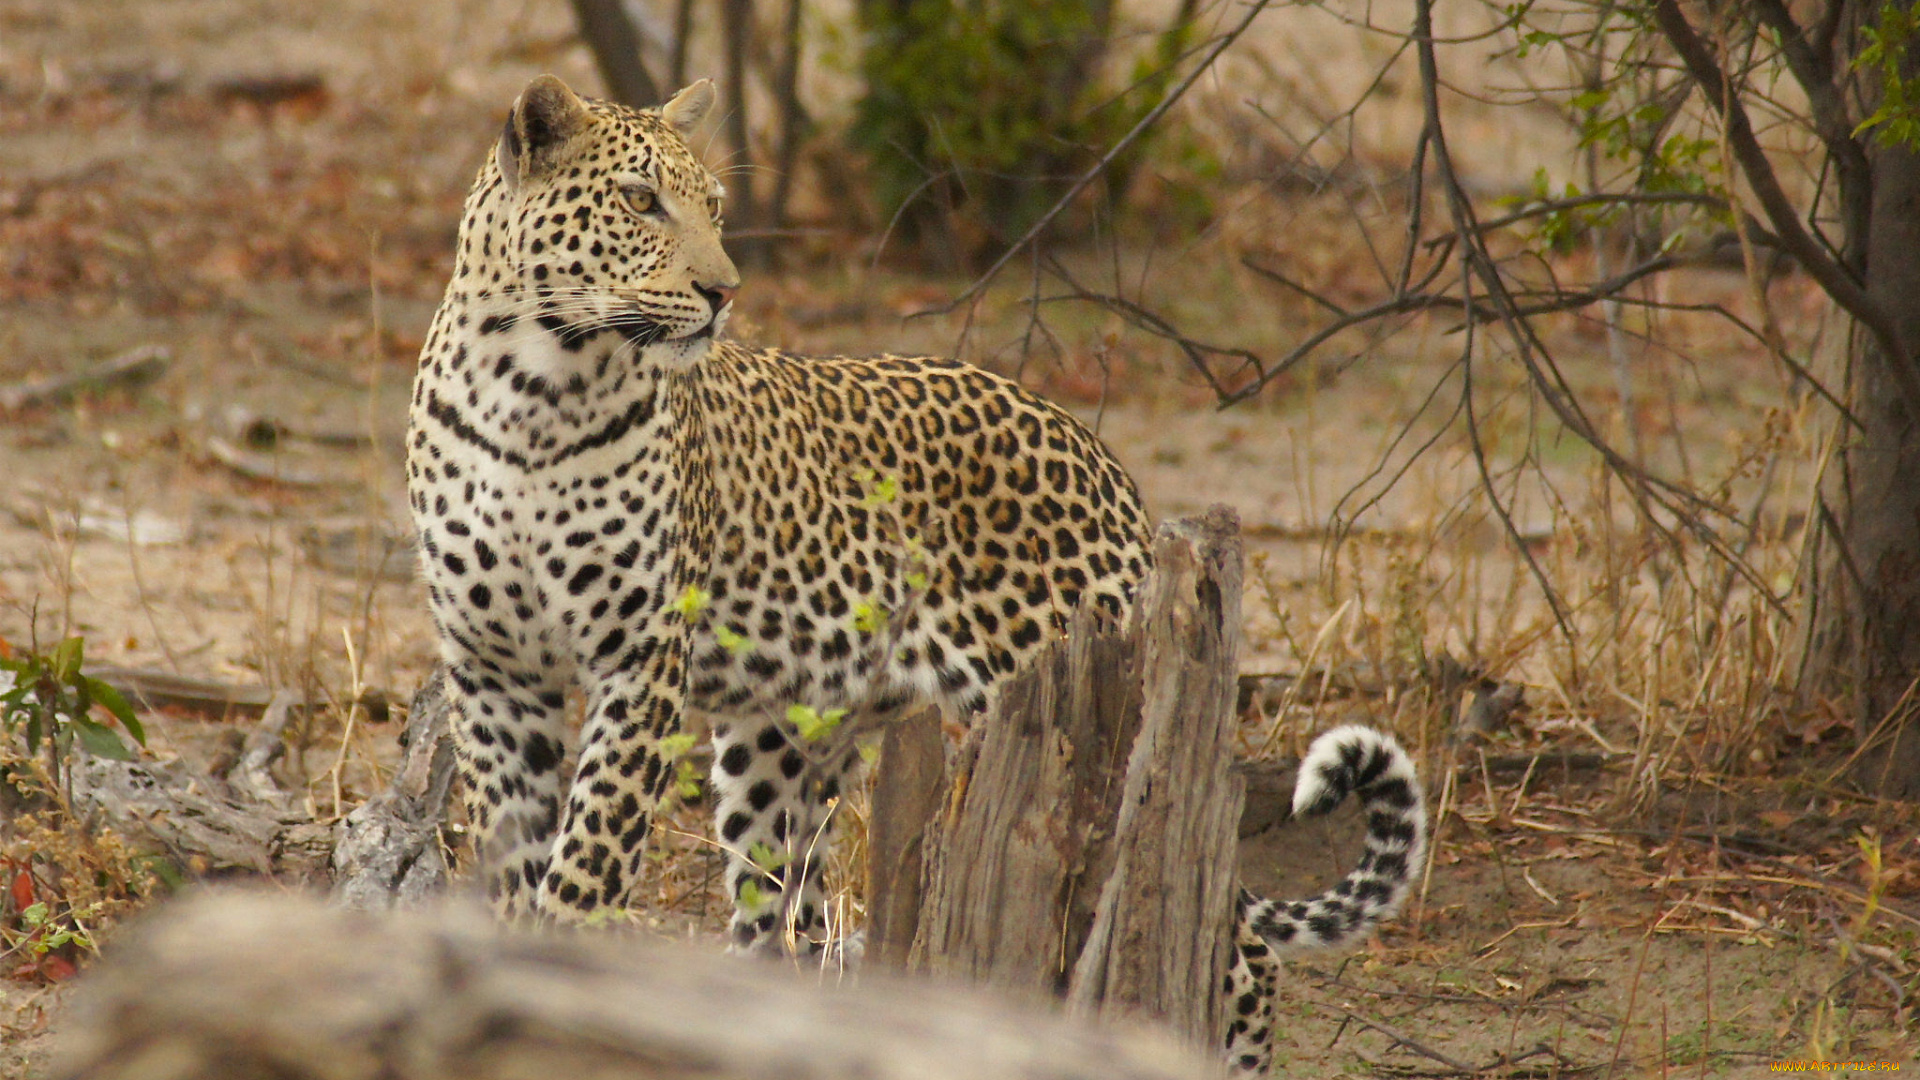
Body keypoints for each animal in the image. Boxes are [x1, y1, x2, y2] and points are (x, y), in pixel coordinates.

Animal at [405, 73, 1428, 1076]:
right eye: (639, 201)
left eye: (715, 207)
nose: (723, 291)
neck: (534, 387)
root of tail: (1096, 451)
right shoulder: (493, 670)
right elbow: (514, 851)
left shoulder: (640, 657)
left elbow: (590, 855)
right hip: (777, 743)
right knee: (788, 923)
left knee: (1234, 942)